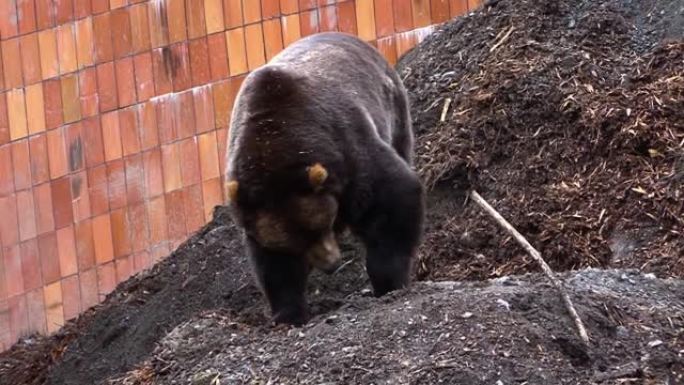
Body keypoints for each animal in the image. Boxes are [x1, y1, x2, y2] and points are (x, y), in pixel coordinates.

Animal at [224, 31, 424, 324]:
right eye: (295, 244)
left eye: (319, 226)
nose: (331, 264)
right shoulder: (257, 207)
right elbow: (272, 263)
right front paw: (289, 312)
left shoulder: (348, 151)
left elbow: (393, 198)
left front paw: (388, 281)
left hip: (393, 107)